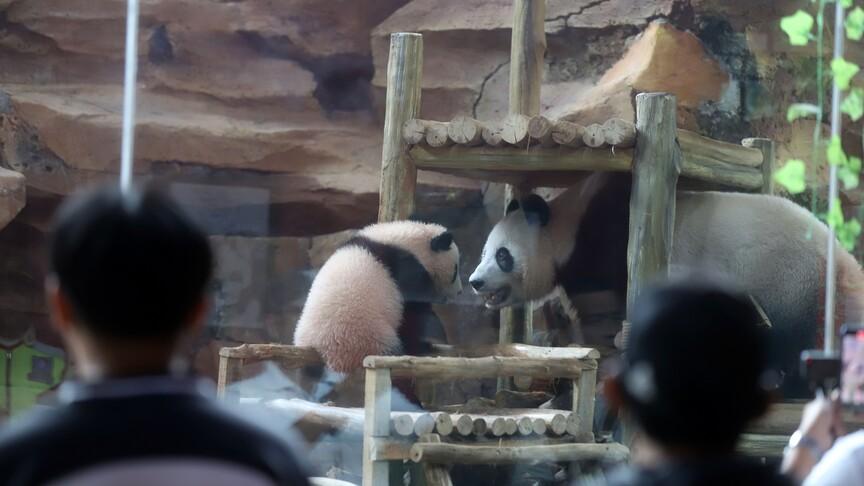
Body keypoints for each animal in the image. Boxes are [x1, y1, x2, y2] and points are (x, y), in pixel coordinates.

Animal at [293, 220, 462, 386]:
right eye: (455, 270)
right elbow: (415, 309)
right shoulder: (406, 268)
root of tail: (323, 350)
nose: (459, 292)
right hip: (367, 337)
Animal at [469, 172, 864, 396]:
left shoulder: (604, 244)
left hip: (786, 281)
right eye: (483, 251)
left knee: (791, 340)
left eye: (502, 255)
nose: (475, 281)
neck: (564, 228)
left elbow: (605, 311)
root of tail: (843, 262)